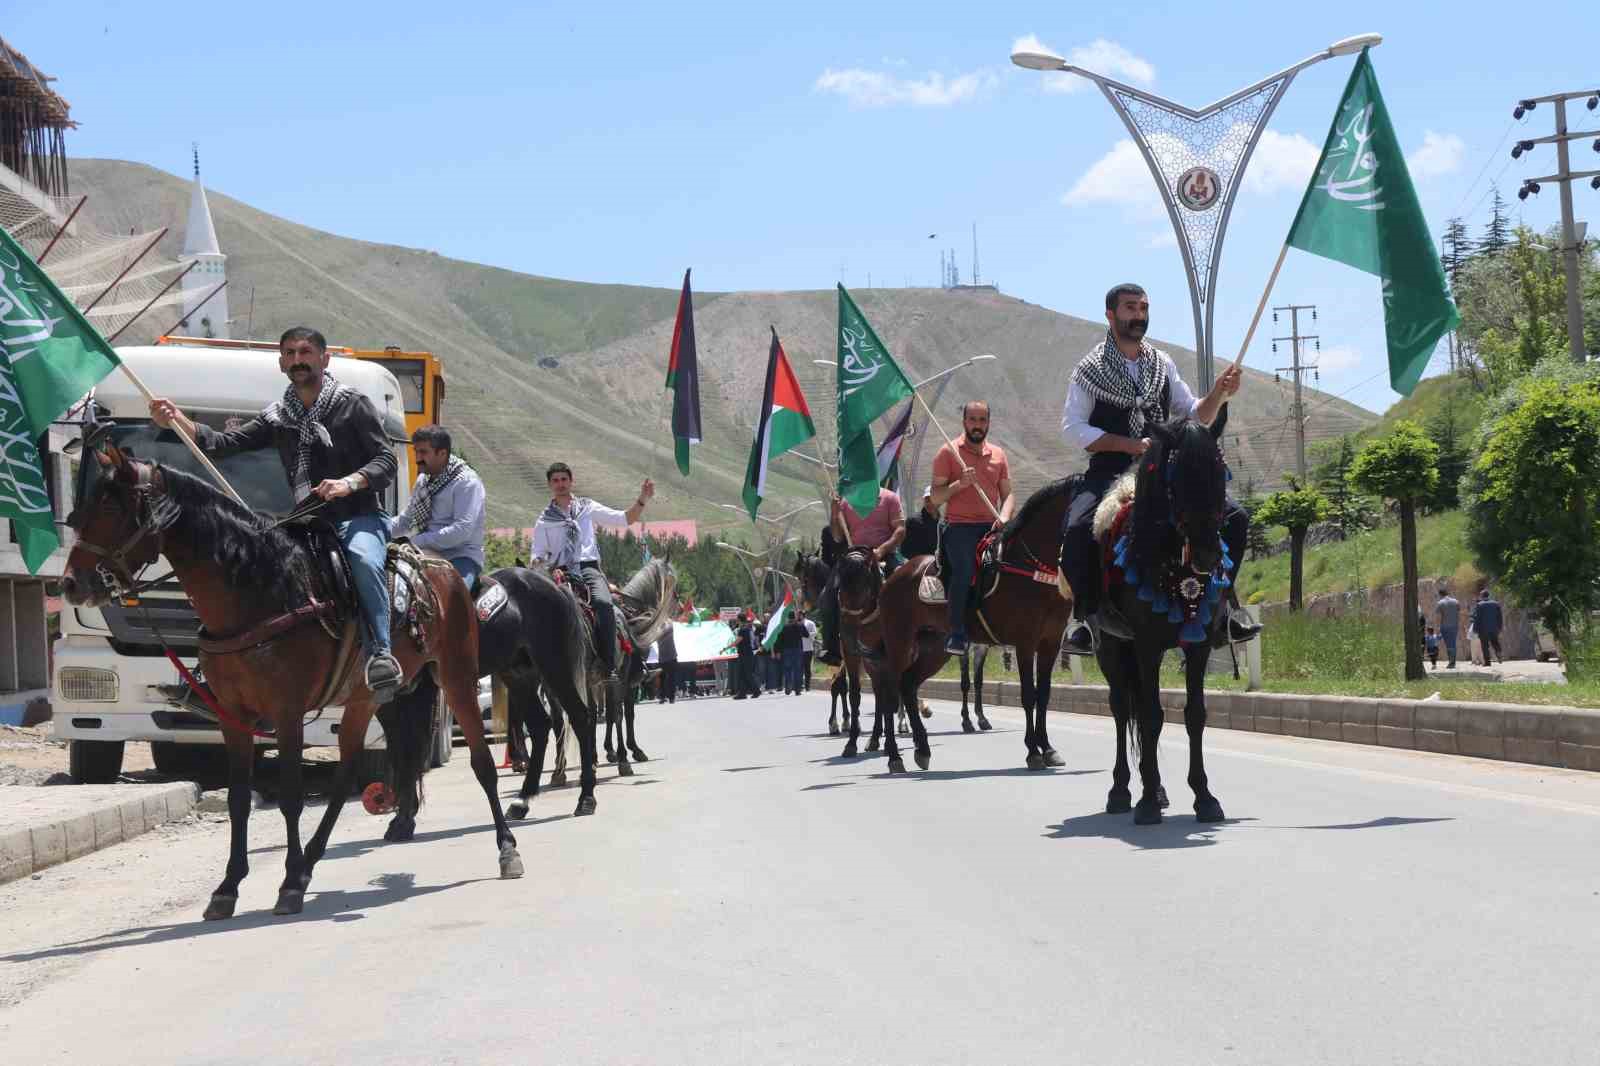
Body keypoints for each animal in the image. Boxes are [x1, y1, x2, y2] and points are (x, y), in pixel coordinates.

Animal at [62, 435, 518, 915]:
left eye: (110, 508)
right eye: (82, 504)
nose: (71, 584)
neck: (261, 588)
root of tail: (442, 569)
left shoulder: (287, 712)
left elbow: (292, 797)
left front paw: (287, 887)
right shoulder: (233, 715)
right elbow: (239, 799)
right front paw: (229, 887)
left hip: (457, 677)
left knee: (482, 763)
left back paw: (507, 848)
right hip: (366, 698)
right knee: (346, 775)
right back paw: (310, 862)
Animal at [838, 476, 1075, 768]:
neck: (1027, 567)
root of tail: (895, 577)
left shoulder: (1050, 642)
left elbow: (1043, 695)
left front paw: (1048, 749)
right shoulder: (1025, 641)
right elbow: (1029, 695)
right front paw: (1033, 751)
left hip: (933, 649)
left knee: (907, 685)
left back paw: (922, 749)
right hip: (898, 642)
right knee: (891, 692)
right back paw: (893, 755)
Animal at [1100, 412, 1235, 819]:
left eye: (1219, 471)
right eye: (1178, 479)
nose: (1208, 555)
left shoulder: (1199, 645)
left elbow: (1195, 715)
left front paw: (1204, 796)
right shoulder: (1146, 647)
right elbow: (1150, 716)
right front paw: (1145, 804)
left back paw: (1156, 789)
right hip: (1111, 648)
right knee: (1120, 709)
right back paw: (1122, 791)